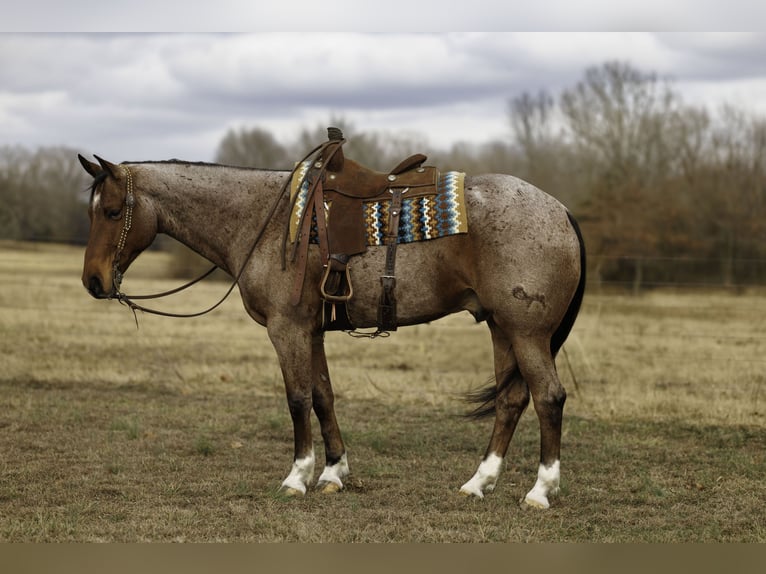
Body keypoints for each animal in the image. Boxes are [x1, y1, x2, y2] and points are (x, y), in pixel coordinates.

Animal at [78, 148, 585, 509]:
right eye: (91, 211)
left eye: (112, 212)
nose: (93, 281)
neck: (264, 220)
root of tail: (560, 209)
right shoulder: (312, 331)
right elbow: (323, 396)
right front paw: (333, 472)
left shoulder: (286, 329)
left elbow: (298, 399)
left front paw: (297, 476)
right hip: (502, 328)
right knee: (512, 400)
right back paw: (479, 482)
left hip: (527, 333)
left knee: (548, 397)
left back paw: (540, 491)